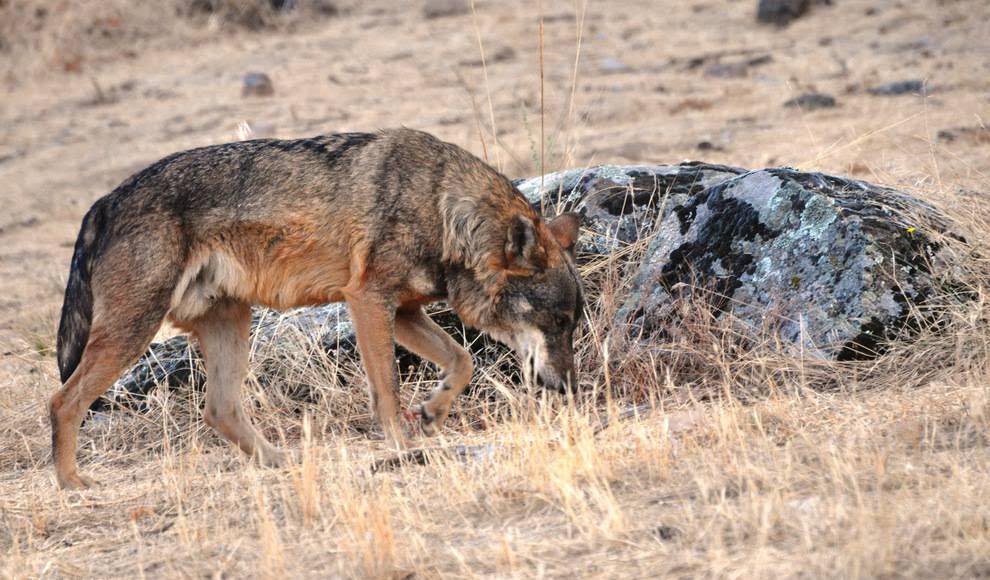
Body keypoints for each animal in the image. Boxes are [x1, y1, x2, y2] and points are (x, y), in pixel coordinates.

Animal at [50, 128, 584, 489]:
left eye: (573, 325)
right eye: (558, 322)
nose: (569, 389)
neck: (443, 209)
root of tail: (103, 202)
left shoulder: (405, 312)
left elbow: (463, 360)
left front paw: (432, 413)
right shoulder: (367, 301)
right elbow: (387, 390)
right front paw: (401, 446)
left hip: (231, 325)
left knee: (219, 410)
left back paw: (278, 462)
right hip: (134, 332)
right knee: (62, 402)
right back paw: (72, 483)